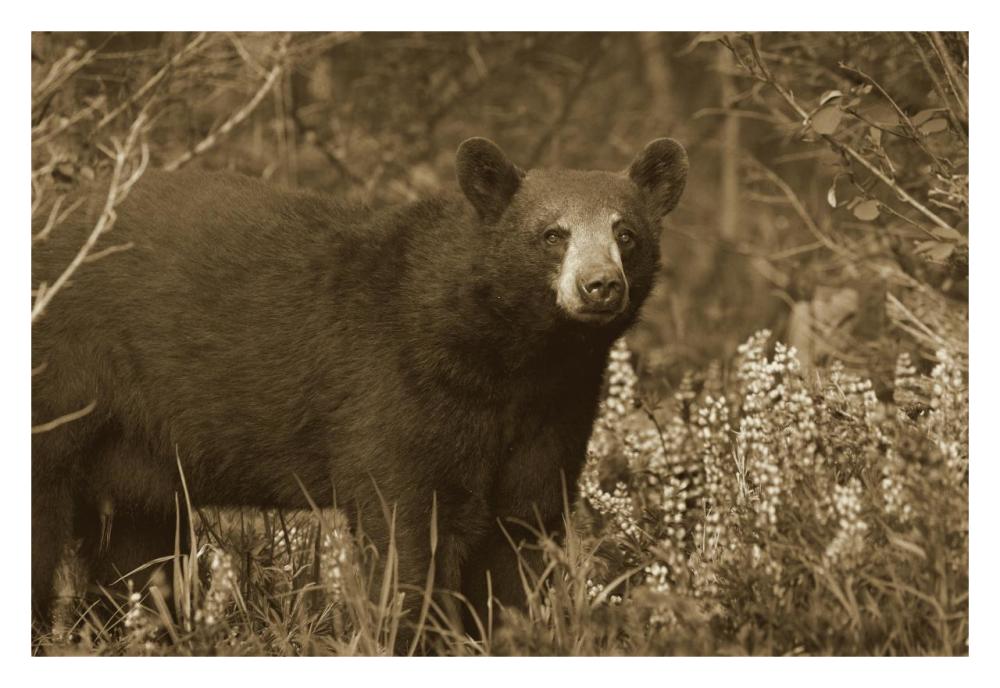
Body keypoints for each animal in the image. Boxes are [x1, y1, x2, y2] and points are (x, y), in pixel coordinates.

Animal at [31, 136, 688, 648]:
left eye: (626, 233)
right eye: (552, 233)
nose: (599, 285)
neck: (514, 359)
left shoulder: (553, 413)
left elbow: (522, 530)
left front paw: (509, 634)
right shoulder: (399, 388)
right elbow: (406, 530)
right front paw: (411, 636)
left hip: (133, 451)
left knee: (139, 548)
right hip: (62, 383)